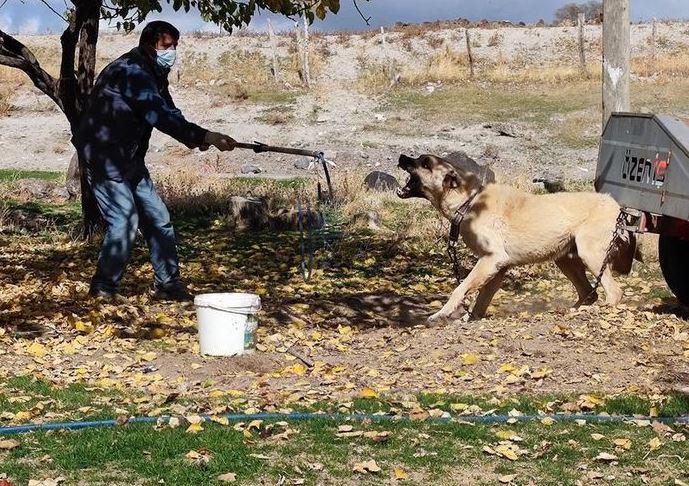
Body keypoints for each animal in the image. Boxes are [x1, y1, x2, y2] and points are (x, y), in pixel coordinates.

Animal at [396, 154, 632, 320]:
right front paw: (470, 319)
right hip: (565, 259)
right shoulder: (498, 267)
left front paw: (441, 313)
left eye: (425, 163)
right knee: (589, 293)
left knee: (614, 293)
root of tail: (616, 207)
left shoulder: (491, 259)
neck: (469, 202)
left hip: (589, 254)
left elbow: (460, 289)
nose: (401, 157)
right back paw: (570, 310)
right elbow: (481, 300)